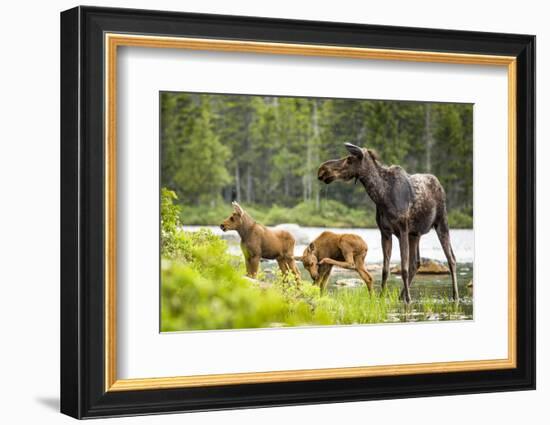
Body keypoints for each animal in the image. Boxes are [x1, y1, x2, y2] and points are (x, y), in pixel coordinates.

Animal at [316, 144, 460, 304]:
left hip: (441, 222)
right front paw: (381, 296)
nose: (322, 169)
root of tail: (440, 184)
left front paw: (408, 299)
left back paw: (455, 296)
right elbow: (386, 269)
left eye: (349, 159)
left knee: (451, 259)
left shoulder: (403, 230)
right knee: (416, 262)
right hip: (415, 234)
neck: (381, 197)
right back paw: (401, 296)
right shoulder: (385, 231)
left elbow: (403, 268)